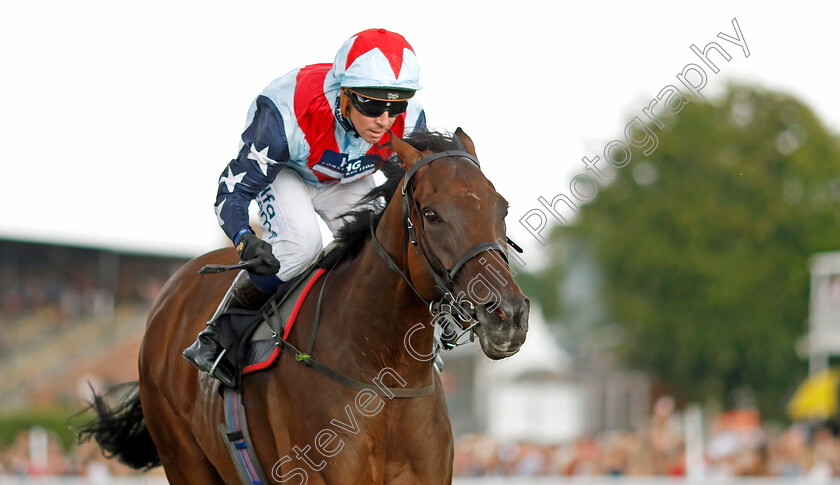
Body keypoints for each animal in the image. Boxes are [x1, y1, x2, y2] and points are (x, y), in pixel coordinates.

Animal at [75, 130, 528, 484]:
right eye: (431, 215)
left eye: (502, 207)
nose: (508, 314)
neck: (382, 374)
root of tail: (169, 296)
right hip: (184, 459)